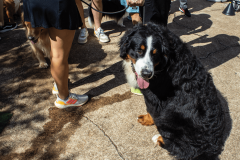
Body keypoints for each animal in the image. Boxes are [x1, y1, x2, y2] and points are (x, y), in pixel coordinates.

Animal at [119, 22, 228, 160]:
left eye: (155, 54)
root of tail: (211, 147)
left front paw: (147, 119)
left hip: (169, 117)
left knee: (183, 150)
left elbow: (152, 112)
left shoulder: (154, 98)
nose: (147, 74)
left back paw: (159, 139)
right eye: (139, 50)